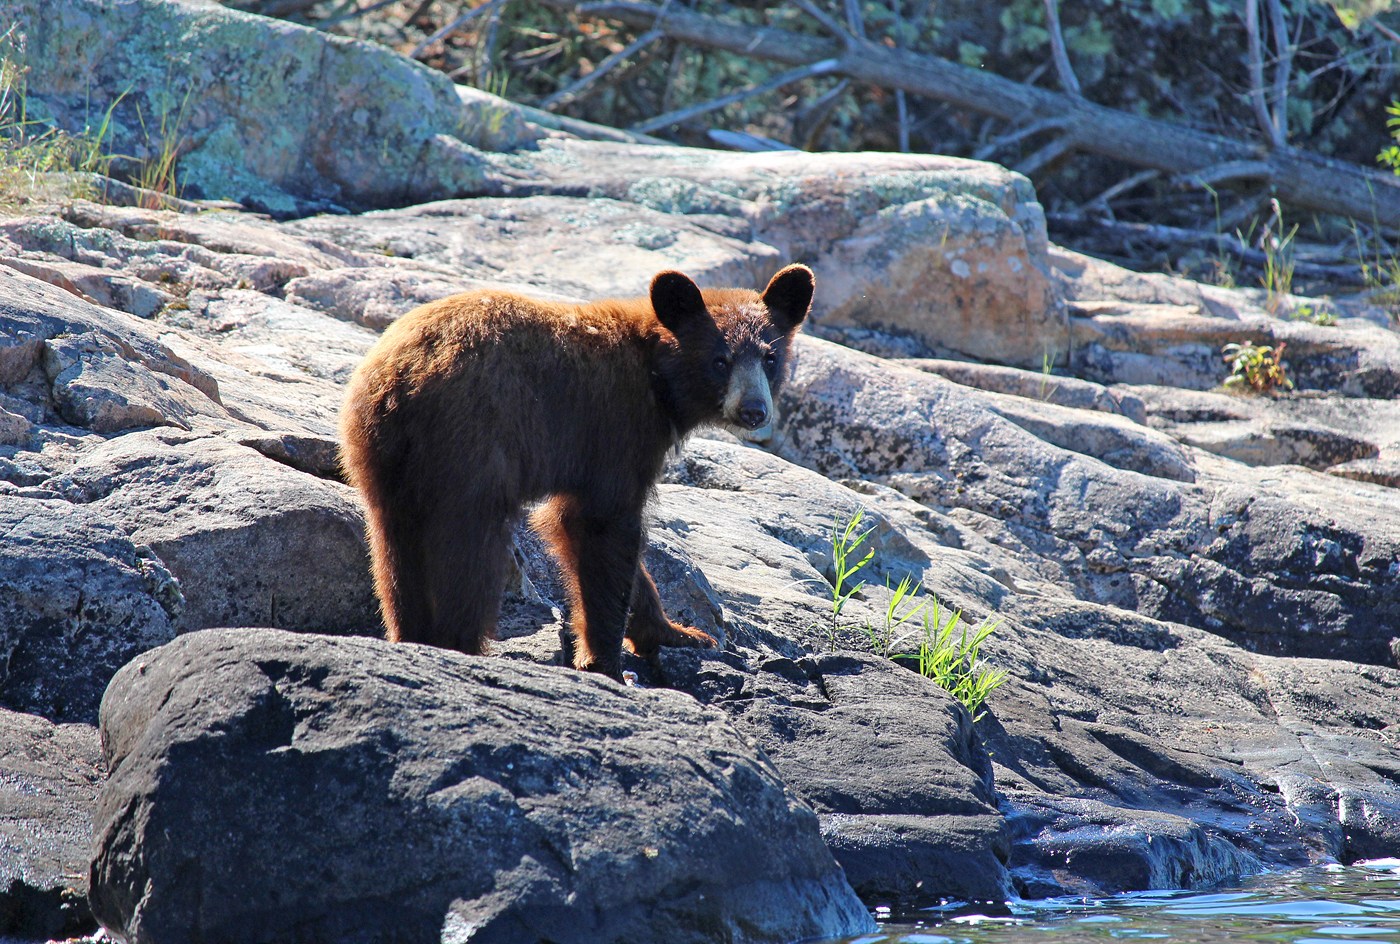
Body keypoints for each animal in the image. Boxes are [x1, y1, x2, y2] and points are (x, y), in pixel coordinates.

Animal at [339, 264, 815, 680]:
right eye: (721, 360)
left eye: (770, 358)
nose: (754, 411)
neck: (658, 377)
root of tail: (403, 377)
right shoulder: (613, 430)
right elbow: (603, 527)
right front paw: (606, 662)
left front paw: (678, 633)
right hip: (471, 442)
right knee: (469, 548)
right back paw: (458, 643)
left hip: (379, 453)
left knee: (393, 545)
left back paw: (410, 631)